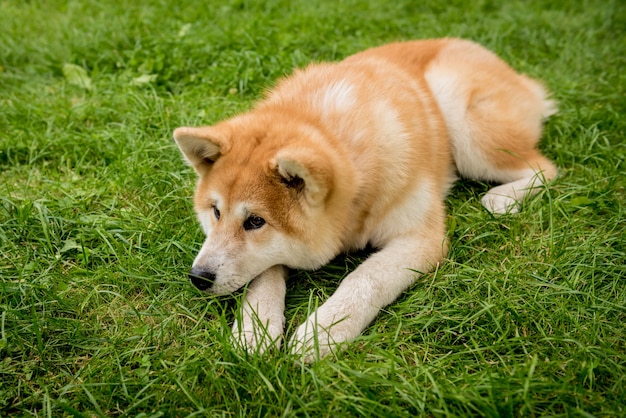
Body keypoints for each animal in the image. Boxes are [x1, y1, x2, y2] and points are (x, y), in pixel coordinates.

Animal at [172, 37, 556, 360]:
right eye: (215, 212)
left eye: (255, 221)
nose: (198, 276)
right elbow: (264, 277)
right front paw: (255, 328)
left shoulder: (421, 237)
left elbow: (366, 278)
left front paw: (324, 329)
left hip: (466, 128)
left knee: (545, 168)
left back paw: (504, 199)